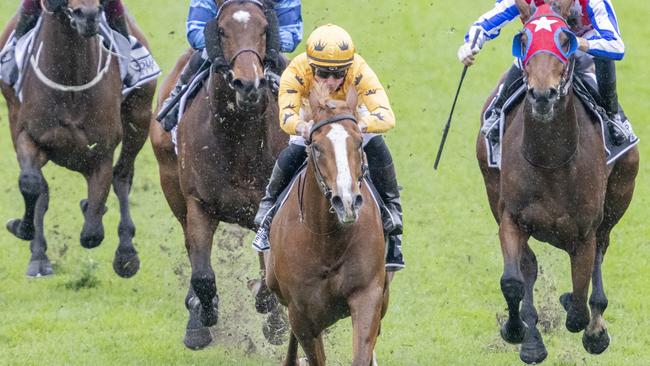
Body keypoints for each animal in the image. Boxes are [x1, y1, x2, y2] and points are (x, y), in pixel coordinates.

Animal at [0, 0, 156, 278]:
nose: (89, 15)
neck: (70, 78)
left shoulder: (102, 152)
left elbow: (92, 233)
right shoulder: (28, 136)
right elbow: (31, 184)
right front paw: (23, 228)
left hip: (139, 116)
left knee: (122, 176)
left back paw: (126, 251)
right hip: (12, 113)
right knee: (42, 189)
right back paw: (39, 256)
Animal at [151, 0, 288, 350]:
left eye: (264, 29)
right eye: (222, 30)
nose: (248, 84)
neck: (239, 141)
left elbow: (270, 272)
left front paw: (274, 318)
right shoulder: (199, 204)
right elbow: (202, 273)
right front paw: (203, 315)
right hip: (171, 184)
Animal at [266, 83, 388, 366]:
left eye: (358, 142)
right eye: (317, 147)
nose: (347, 201)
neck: (327, 240)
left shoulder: (368, 294)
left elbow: (363, 352)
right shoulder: (301, 313)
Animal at [476, 0, 636, 362]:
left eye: (565, 39)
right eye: (523, 38)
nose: (542, 95)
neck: (550, 159)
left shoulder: (585, 230)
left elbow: (578, 306)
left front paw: (589, 325)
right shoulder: (511, 217)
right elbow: (514, 280)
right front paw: (517, 331)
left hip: (618, 196)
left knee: (600, 256)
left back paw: (596, 328)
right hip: (493, 190)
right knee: (530, 268)